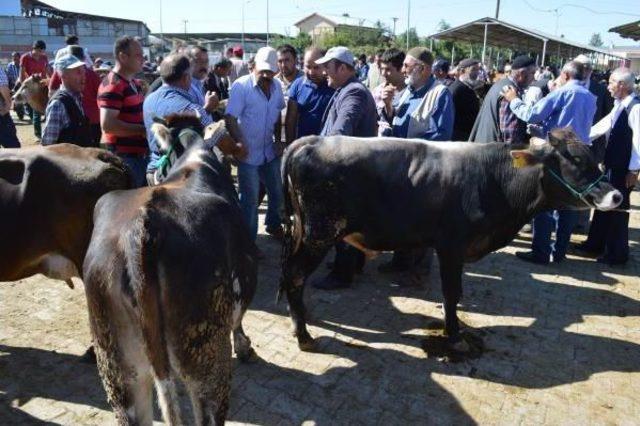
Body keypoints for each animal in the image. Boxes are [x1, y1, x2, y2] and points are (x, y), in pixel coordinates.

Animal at [278, 129, 624, 352]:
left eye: (593, 157)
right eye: (575, 160)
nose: (616, 195)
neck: (493, 179)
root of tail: (311, 140)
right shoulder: (451, 247)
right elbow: (451, 293)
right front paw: (454, 335)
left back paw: (303, 319)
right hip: (319, 234)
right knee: (294, 274)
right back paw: (304, 335)